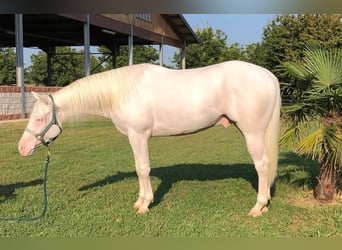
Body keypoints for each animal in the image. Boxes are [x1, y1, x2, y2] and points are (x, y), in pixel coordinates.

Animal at [18, 61, 280, 217]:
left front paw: (144, 204)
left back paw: (258, 206)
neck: (122, 91)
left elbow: (142, 168)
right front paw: (140, 201)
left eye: (39, 119)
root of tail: (268, 75)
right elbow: (139, 168)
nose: (22, 148)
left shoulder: (139, 135)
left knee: (262, 165)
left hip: (252, 133)